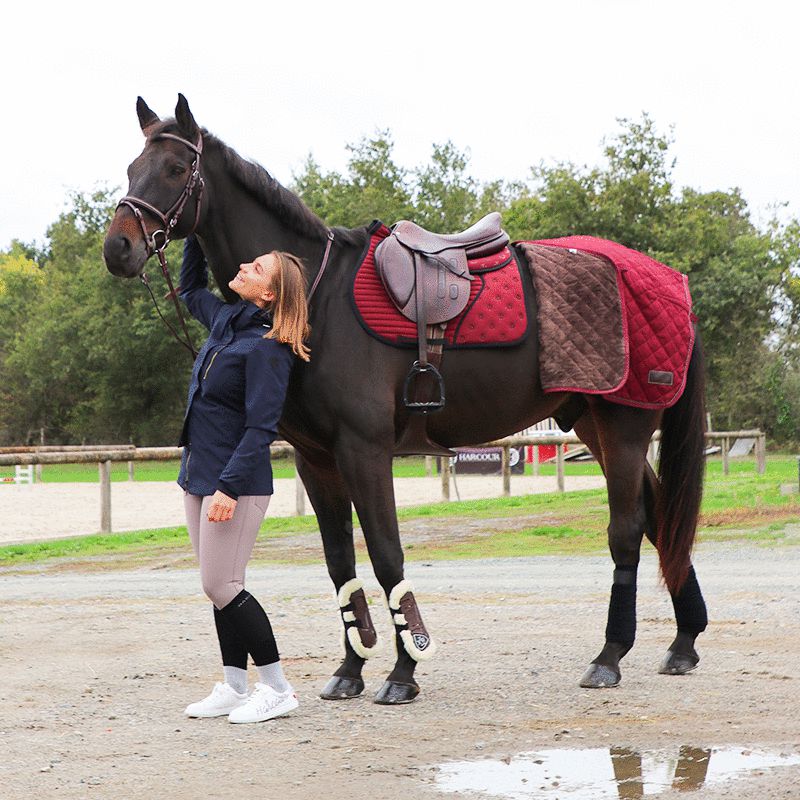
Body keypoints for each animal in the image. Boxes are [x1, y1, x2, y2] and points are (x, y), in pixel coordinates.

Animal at [103, 95, 708, 705]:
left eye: (175, 169)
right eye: (131, 168)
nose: (117, 248)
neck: (315, 300)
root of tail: (666, 280)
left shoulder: (364, 451)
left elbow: (386, 552)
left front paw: (403, 671)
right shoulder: (316, 459)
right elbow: (340, 562)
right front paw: (350, 669)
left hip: (625, 427)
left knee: (628, 528)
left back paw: (610, 656)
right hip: (594, 425)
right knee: (659, 514)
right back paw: (683, 642)